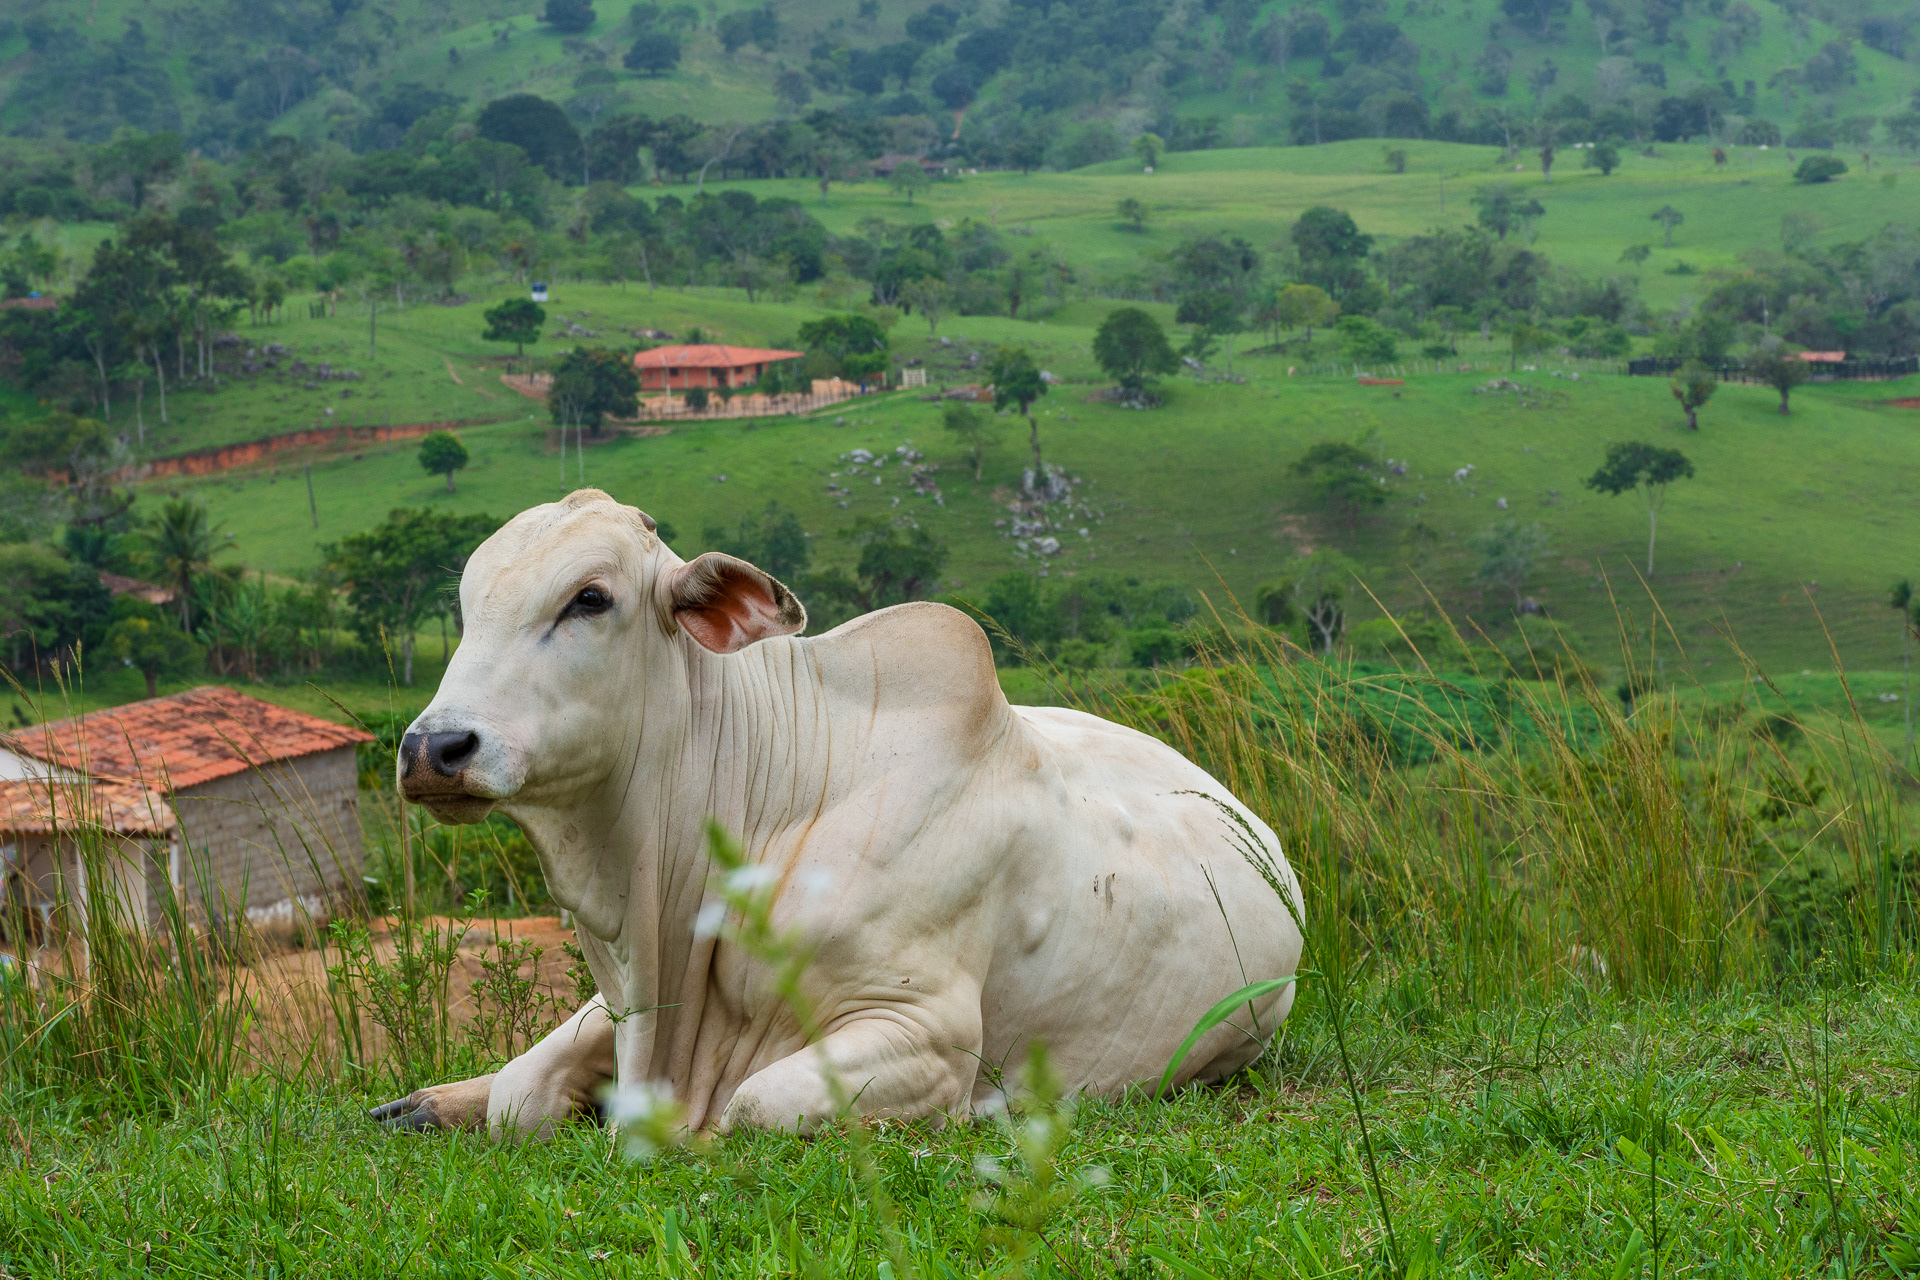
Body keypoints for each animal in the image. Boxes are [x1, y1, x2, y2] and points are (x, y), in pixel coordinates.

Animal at [373, 490, 1303, 1138]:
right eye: (466, 608)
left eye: (591, 599)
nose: (433, 748)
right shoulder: (624, 998)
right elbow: (523, 1095)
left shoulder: (925, 1032)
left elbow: (750, 1108)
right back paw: (418, 1104)